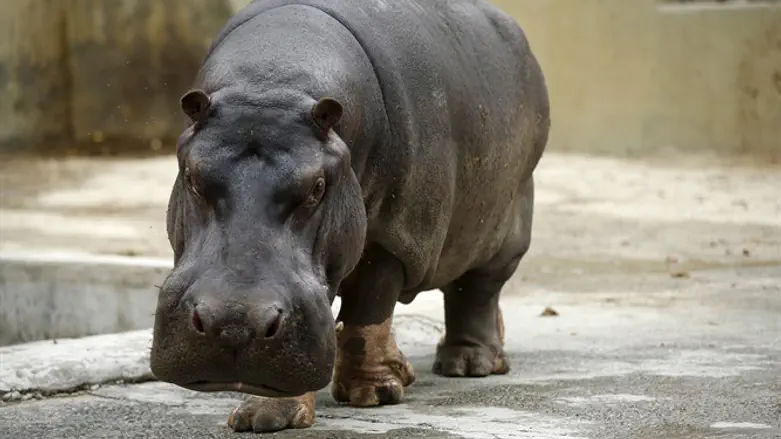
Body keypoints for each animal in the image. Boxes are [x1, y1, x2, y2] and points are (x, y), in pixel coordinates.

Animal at [150, 0, 549, 433]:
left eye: (317, 187)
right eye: (191, 175)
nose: (234, 323)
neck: (271, 84)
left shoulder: (394, 235)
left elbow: (368, 310)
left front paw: (373, 396)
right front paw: (262, 418)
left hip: (503, 223)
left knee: (475, 291)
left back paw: (468, 365)